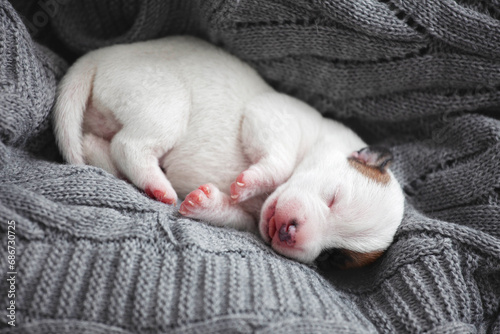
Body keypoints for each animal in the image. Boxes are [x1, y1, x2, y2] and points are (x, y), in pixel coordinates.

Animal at [53, 35, 406, 268]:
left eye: (331, 257)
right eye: (333, 197)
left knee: (97, 144)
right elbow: (278, 161)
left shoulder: (248, 220)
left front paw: (204, 202)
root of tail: (98, 57)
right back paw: (159, 186)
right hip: (165, 103)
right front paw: (249, 182)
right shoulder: (273, 115)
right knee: (129, 145)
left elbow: (230, 213)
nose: (290, 234)